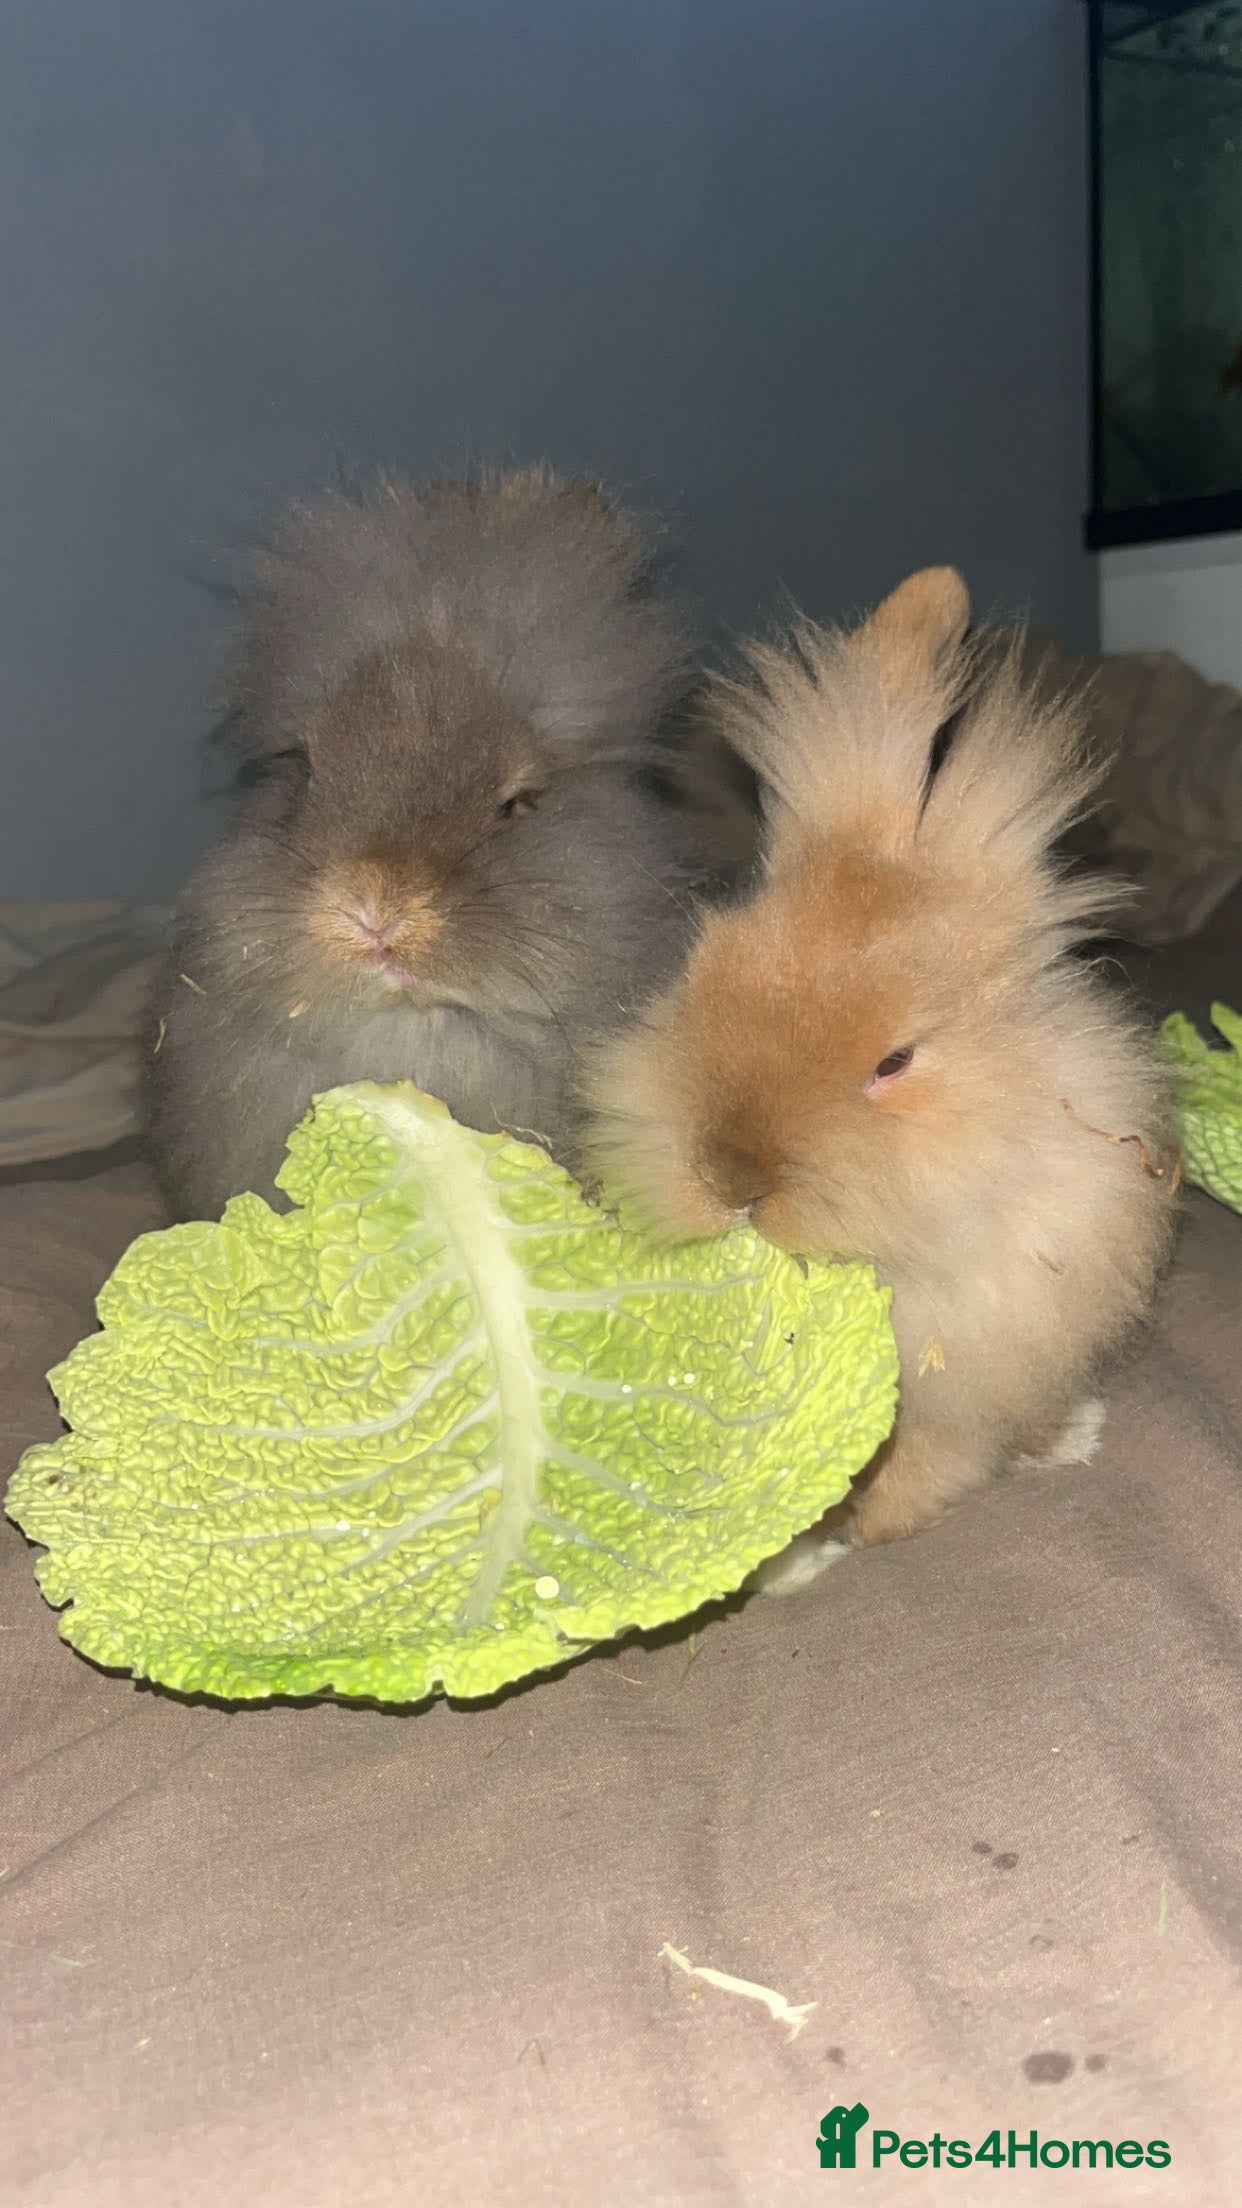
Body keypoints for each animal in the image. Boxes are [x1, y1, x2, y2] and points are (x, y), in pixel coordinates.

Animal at [583, 566, 1182, 1585]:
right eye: (704, 968)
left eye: (893, 1061)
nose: (731, 1180)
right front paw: (791, 1563)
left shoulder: (974, 1368)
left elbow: (925, 1466)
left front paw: (866, 1539)